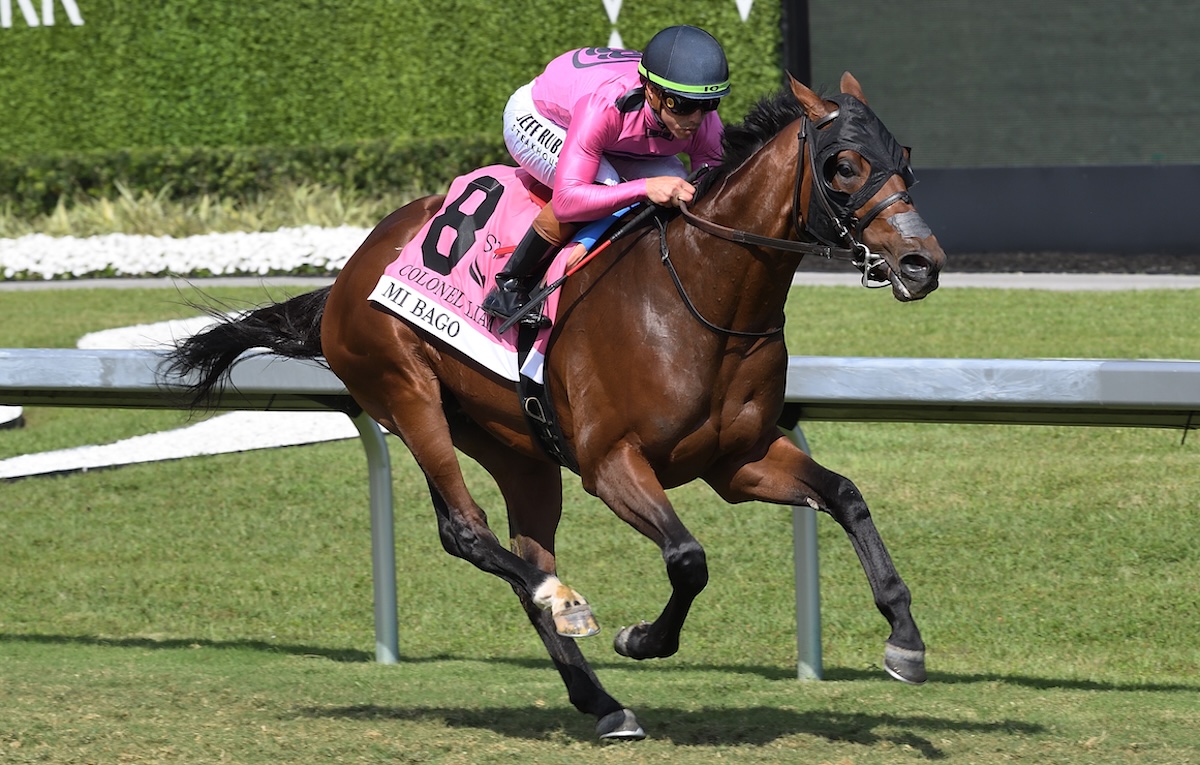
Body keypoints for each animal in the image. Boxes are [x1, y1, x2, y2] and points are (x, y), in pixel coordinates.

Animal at [164, 74, 940, 738]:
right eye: (843, 165)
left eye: (903, 158)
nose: (922, 262)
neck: (702, 294)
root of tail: (350, 270)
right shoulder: (612, 462)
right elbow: (688, 557)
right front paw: (642, 637)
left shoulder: (739, 459)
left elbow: (845, 495)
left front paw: (904, 640)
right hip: (406, 393)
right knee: (468, 531)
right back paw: (564, 601)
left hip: (518, 448)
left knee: (524, 549)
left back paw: (599, 697)